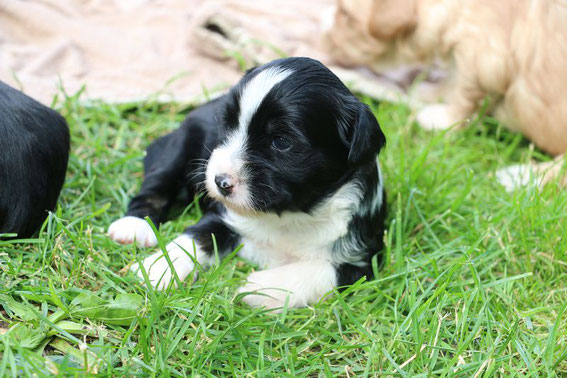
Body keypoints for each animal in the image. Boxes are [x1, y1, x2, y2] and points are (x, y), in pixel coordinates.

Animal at [107, 57, 386, 308]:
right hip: (181, 144)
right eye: (228, 125)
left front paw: (260, 288)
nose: (220, 181)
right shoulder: (223, 216)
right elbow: (195, 237)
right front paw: (157, 269)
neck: (291, 215)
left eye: (281, 141)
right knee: (159, 182)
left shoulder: (363, 259)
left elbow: (322, 272)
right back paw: (133, 227)